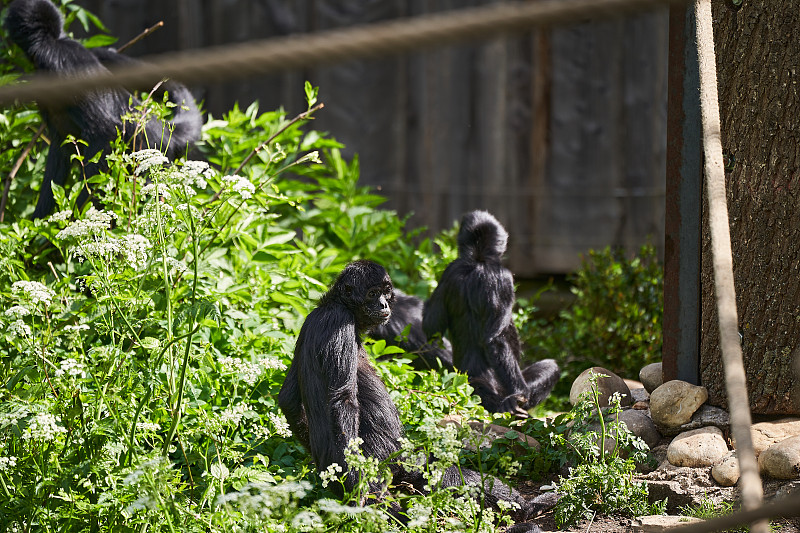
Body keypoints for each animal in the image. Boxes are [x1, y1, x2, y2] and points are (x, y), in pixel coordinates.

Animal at [278, 258, 548, 528]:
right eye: (372, 294)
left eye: (385, 293)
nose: (384, 304)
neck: (333, 305)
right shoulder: (339, 324)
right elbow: (342, 399)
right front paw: (356, 485)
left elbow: (288, 400)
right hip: (389, 459)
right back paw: (530, 508)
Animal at [422, 211, 560, 416]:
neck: (477, 260)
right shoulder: (502, 277)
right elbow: (494, 339)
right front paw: (518, 395)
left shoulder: (449, 271)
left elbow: (431, 328)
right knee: (551, 366)